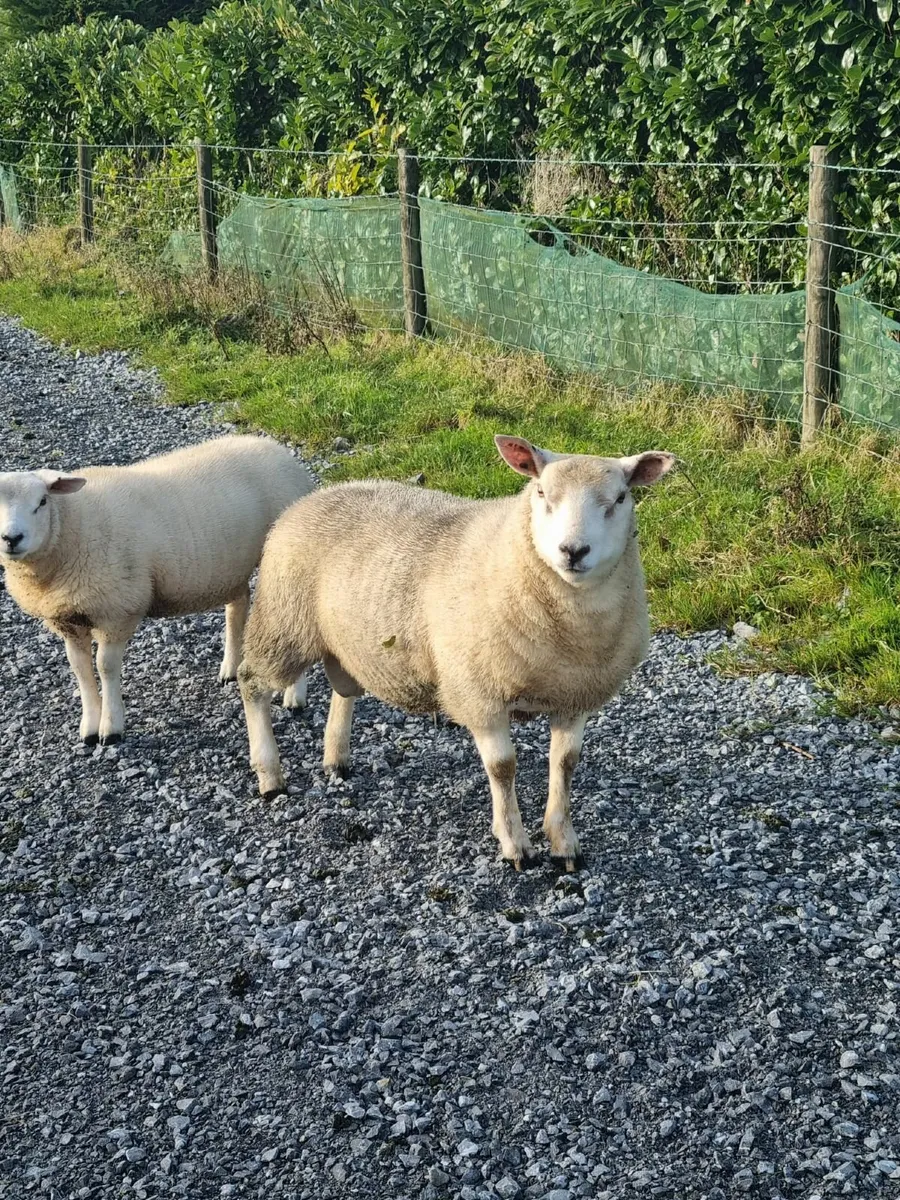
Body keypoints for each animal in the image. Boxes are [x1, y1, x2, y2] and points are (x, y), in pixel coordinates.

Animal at [0, 435, 314, 746]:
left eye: (42, 502)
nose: (12, 538)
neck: (71, 525)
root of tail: (276, 448)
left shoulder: (119, 610)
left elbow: (105, 667)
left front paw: (111, 728)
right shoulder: (68, 619)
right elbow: (81, 669)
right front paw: (89, 726)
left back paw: (294, 697)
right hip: (231, 567)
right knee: (238, 605)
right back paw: (231, 668)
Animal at [237, 434, 674, 871]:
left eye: (620, 498)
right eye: (541, 492)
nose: (573, 551)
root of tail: (315, 495)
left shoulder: (575, 696)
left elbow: (565, 764)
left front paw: (563, 842)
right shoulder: (478, 693)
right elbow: (503, 768)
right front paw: (515, 844)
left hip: (345, 638)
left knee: (344, 689)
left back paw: (336, 757)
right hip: (284, 620)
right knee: (251, 681)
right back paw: (270, 776)